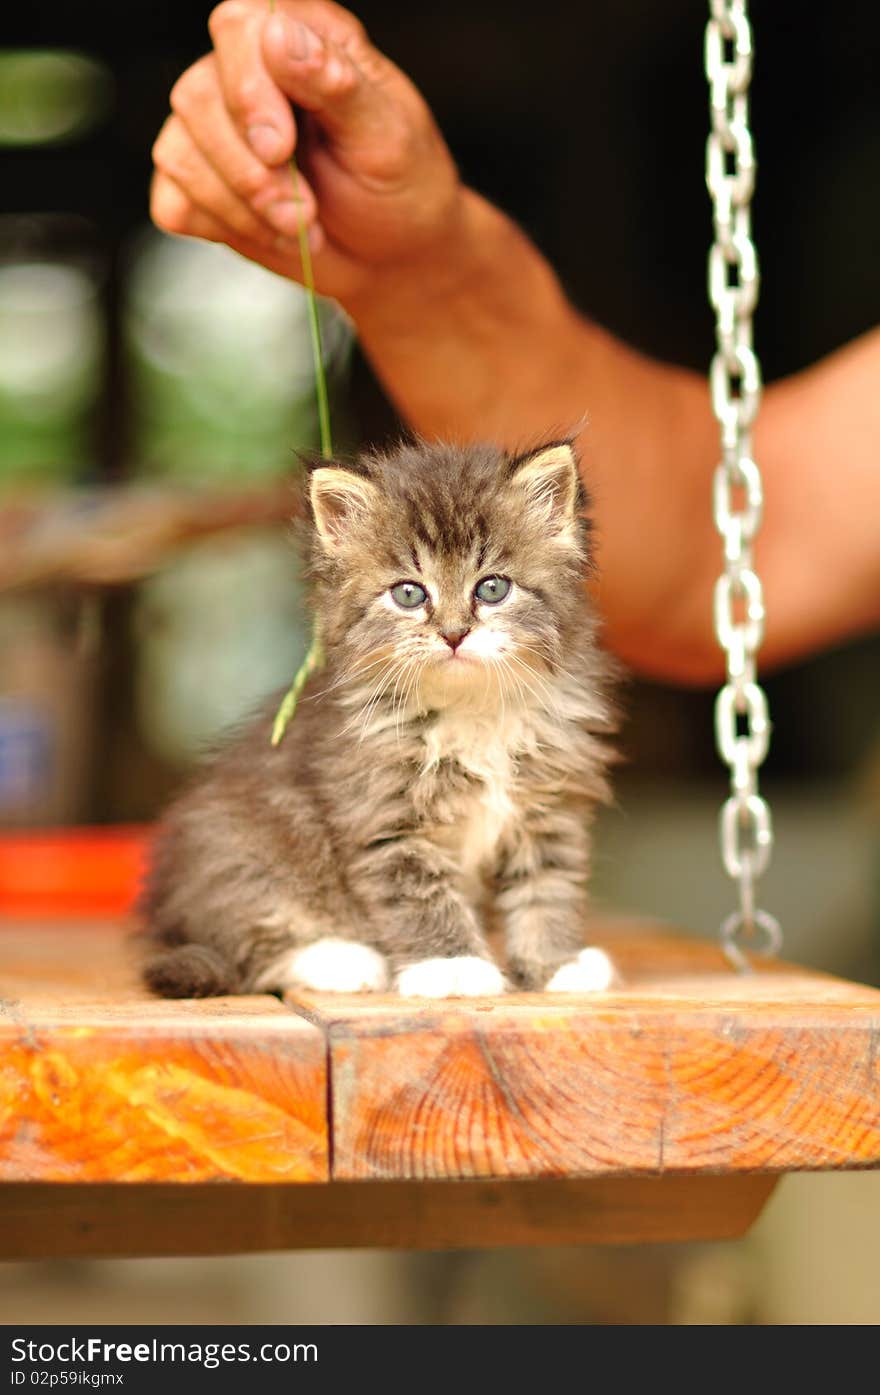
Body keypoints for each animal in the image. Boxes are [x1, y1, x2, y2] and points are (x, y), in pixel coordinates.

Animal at [139, 440, 619, 998]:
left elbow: (547, 889)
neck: (469, 709)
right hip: (241, 858)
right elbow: (420, 895)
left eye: (492, 589)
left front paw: (556, 964)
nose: (454, 634)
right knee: (251, 946)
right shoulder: (383, 818)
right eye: (409, 594)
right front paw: (453, 967)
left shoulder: (549, 809)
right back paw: (344, 960)